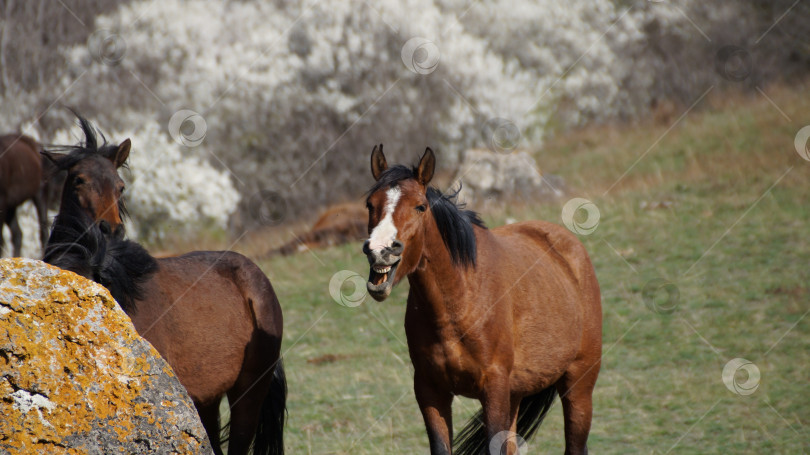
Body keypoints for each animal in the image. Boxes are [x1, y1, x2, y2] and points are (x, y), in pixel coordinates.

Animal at [43, 117, 288, 455]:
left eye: (120, 185)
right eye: (79, 180)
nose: (109, 229)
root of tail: (255, 276)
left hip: (249, 391)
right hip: (206, 399)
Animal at [362, 147, 604, 455]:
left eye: (420, 206)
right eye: (370, 204)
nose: (380, 250)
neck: (459, 302)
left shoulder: (494, 389)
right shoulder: (430, 391)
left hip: (578, 385)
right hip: (517, 393)